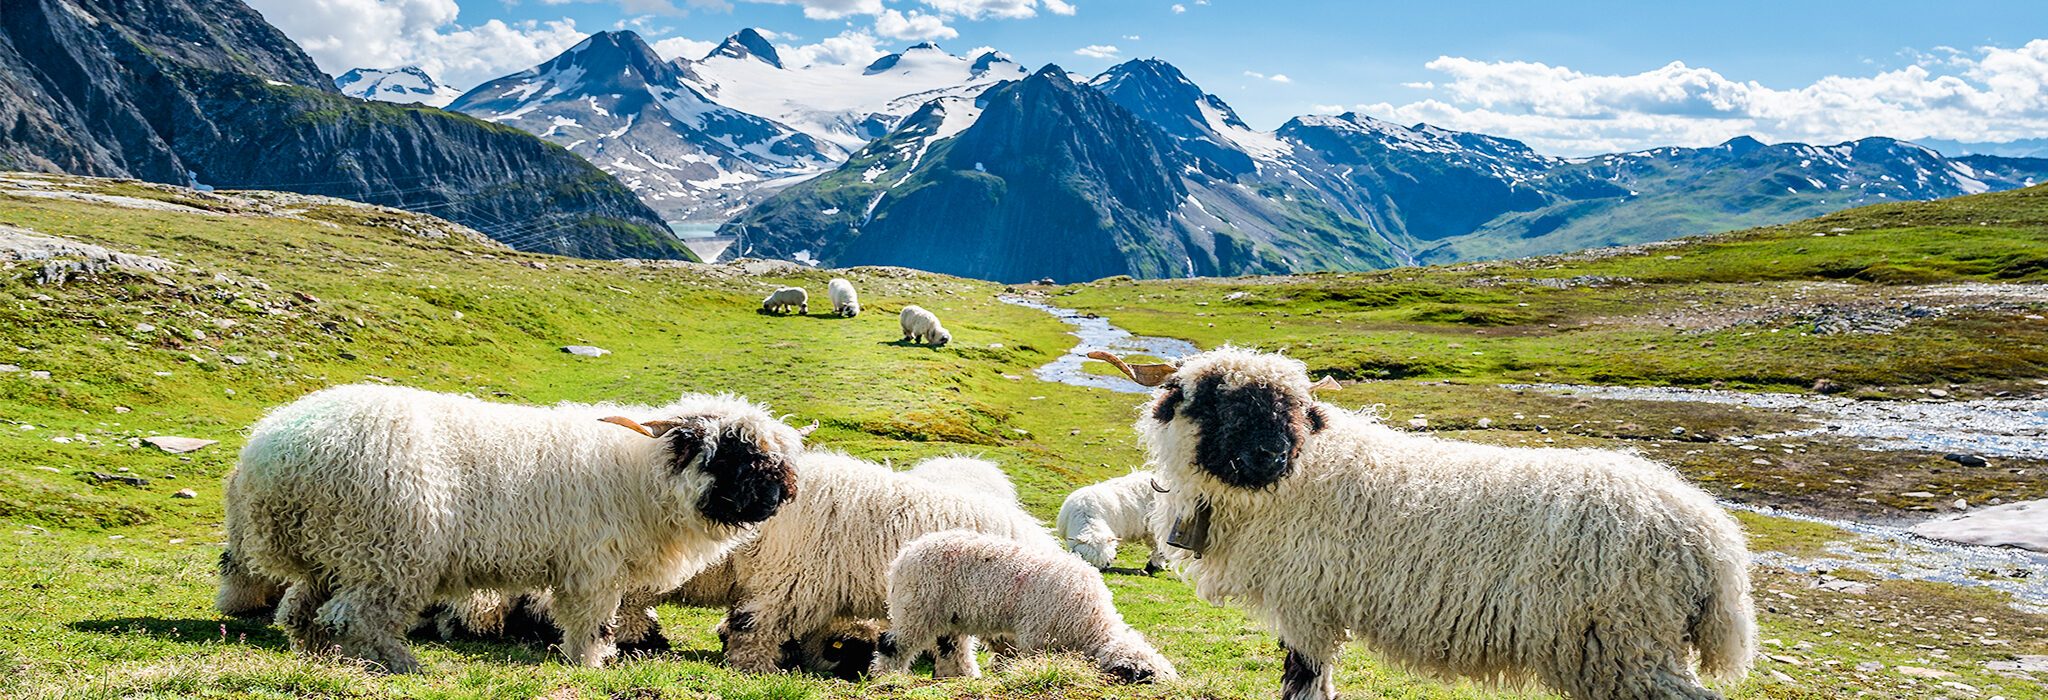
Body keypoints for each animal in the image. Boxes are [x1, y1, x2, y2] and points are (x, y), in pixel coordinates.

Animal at [223, 385, 804, 673]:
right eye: (734, 455)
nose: (781, 497)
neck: (641, 476)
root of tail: (270, 453)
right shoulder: (592, 568)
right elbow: (593, 623)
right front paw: (589, 666)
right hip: (387, 551)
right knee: (355, 618)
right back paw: (403, 665)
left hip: (332, 552)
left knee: (301, 610)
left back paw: (321, 657)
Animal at [718, 450, 1058, 675]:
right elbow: (955, 642)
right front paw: (964, 675)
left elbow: (950, 641)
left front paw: (955, 675)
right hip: (799, 577)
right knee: (753, 622)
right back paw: (756, 668)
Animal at [873, 530, 1178, 683]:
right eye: (1147, 679)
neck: (1091, 623)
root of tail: (907, 551)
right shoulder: (1037, 635)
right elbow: (1032, 660)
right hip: (917, 606)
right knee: (892, 643)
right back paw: (887, 676)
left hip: (951, 614)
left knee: (952, 646)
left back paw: (965, 676)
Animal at [1095, 348, 1755, 700]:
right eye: (1212, 398)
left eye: (1296, 409)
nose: (1270, 457)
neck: (1302, 479)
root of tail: (1713, 539)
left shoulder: (1307, 604)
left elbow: (1302, 682)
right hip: (1624, 646)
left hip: (1629, 640)